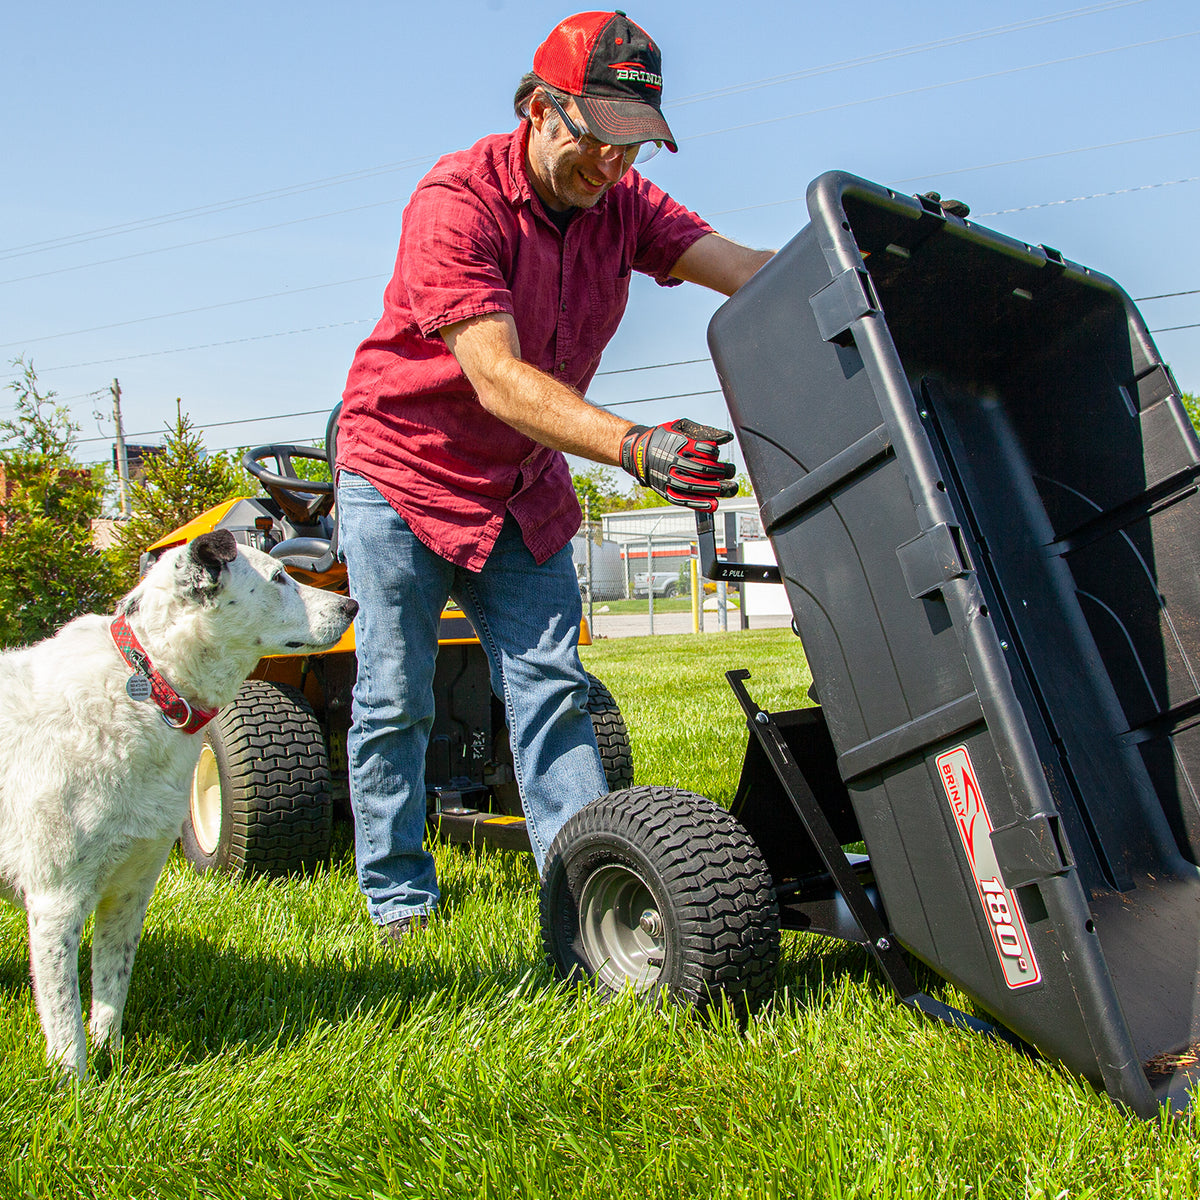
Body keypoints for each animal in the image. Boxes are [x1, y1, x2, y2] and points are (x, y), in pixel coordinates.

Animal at [0, 530, 355, 1075]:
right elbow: (64, 1019)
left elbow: (112, 986)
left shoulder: (131, 887)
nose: (352, 605)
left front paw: (114, 1062)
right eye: (279, 577)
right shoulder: (55, 900)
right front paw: (75, 1088)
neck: (150, 684)